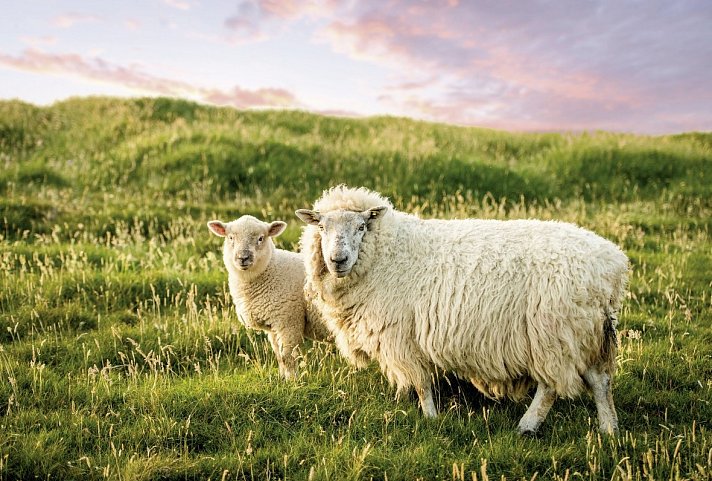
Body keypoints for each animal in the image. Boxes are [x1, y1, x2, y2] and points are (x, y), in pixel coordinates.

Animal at [204, 214, 330, 378]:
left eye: (260, 238)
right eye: (230, 237)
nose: (243, 257)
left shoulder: (289, 320)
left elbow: (287, 356)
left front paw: (293, 380)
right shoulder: (273, 325)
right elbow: (278, 355)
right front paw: (282, 378)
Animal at [294, 186, 628, 434]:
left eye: (362, 226)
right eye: (321, 227)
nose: (338, 260)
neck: (385, 254)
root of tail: (613, 265)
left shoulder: (402, 336)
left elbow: (421, 383)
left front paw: (430, 418)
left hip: (554, 330)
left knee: (550, 387)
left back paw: (527, 427)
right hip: (586, 331)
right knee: (601, 380)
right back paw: (609, 430)